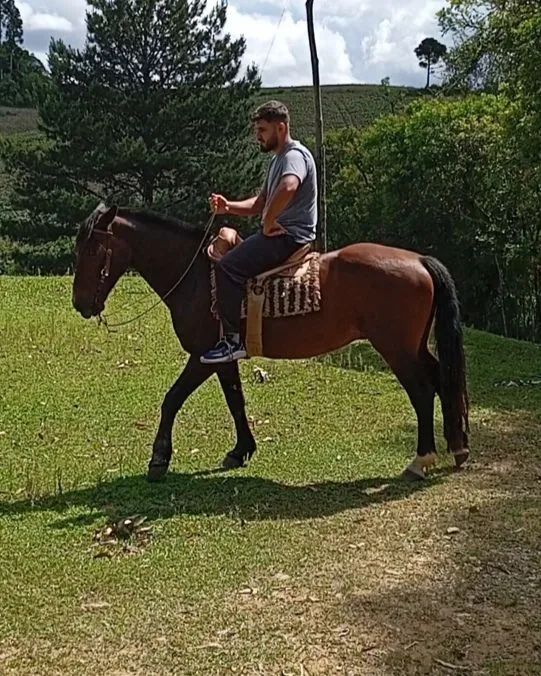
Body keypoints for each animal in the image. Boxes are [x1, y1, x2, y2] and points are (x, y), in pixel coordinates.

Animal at [72, 203, 470, 482]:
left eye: (91, 251)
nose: (80, 304)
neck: (198, 276)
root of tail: (418, 260)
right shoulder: (222, 356)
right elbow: (235, 401)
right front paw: (241, 450)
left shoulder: (201, 356)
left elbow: (172, 400)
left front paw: (159, 458)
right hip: (413, 347)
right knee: (443, 380)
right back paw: (459, 445)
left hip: (396, 348)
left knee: (422, 391)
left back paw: (421, 459)